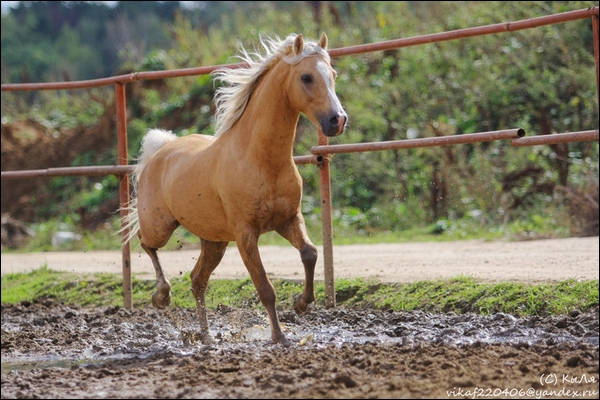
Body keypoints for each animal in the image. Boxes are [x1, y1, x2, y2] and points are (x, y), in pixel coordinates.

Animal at [122, 33, 346, 346]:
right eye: (306, 77)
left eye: (333, 75)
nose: (338, 120)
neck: (261, 160)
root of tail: (160, 150)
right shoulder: (246, 235)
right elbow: (265, 288)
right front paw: (279, 337)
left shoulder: (289, 219)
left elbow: (310, 253)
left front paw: (301, 303)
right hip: (161, 225)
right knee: (146, 242)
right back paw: (162, 296)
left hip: (214, 241)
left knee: (197, 280)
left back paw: (206, 336)